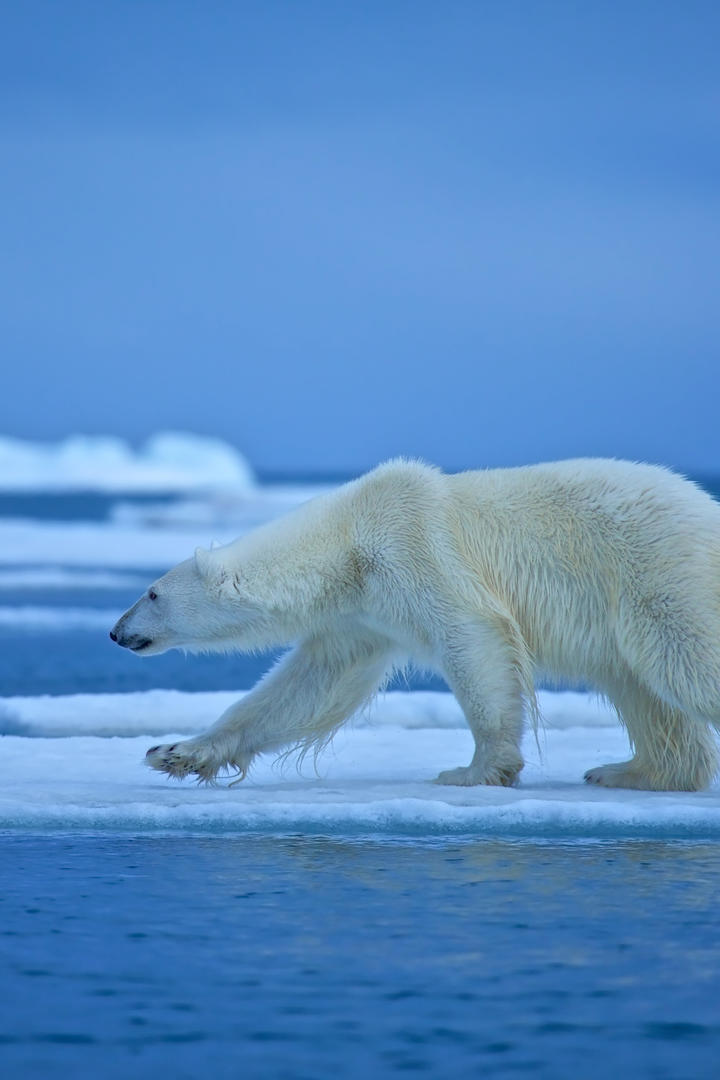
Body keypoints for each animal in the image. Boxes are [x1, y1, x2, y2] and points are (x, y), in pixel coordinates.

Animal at [108, 457, 720, 794]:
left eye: (152, 593)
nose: (116, 632)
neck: (348, 540)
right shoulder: (362, 613)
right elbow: (309, 686)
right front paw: (176, 753)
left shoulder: (415, 549)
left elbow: (472, 637)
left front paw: (476, 770)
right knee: (642, 692)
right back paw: (628, 770)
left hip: (658, 573)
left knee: (686, 660)